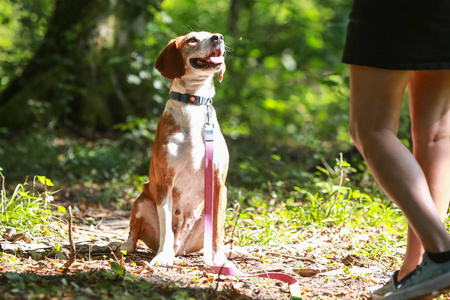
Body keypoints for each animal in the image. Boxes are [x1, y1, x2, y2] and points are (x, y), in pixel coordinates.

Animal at [119, 31, 232, 266]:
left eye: (211, 34)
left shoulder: (218, 184)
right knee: (134, 235)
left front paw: (220, 260)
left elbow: (218, 230)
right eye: (192, 39)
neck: (194, 104)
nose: (218, 37)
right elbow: (165, 229)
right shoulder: (164, 183)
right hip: (141, 202)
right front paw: (163, 256)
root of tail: (181, 247)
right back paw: (127, 247)